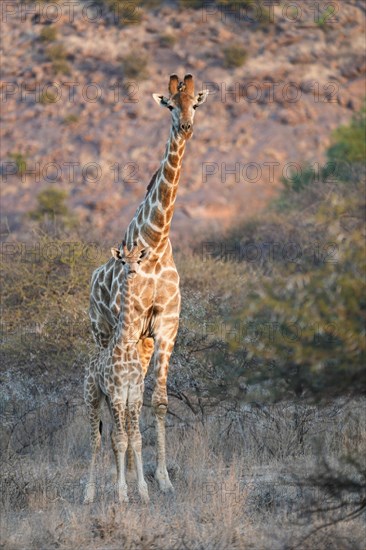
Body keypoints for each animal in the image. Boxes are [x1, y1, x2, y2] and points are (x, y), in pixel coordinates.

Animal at [84, 244, 150, 506]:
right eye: (122, 262)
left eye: (138, 261)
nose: (131, 270)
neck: (125, 341)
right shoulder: (118, 393)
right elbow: (123, 439)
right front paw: (123, 493)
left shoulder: (135, 394)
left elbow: (136, 438)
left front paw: (143, 491)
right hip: (93, 398)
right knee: (95, 440)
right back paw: (88, 493)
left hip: (110, 402)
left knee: (111, 436)